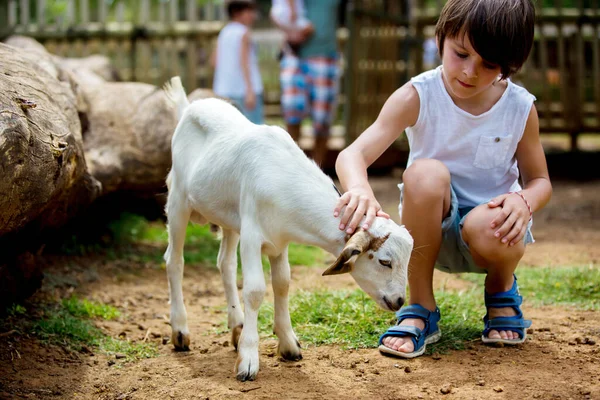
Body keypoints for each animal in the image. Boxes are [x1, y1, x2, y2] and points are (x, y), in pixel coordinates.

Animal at [163, 77, 412, 382]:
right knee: (174, 261)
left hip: (229, 217)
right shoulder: (252, 235)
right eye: (384, 261)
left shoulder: (279, 241)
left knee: (225, 264)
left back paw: (236, 326)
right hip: (178, 201)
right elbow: (255, 290)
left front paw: (288, 344)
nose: (399, 300)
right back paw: (180, 332)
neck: (281, 175)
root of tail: (189, 106)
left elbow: (282, 283)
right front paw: (248, 359)